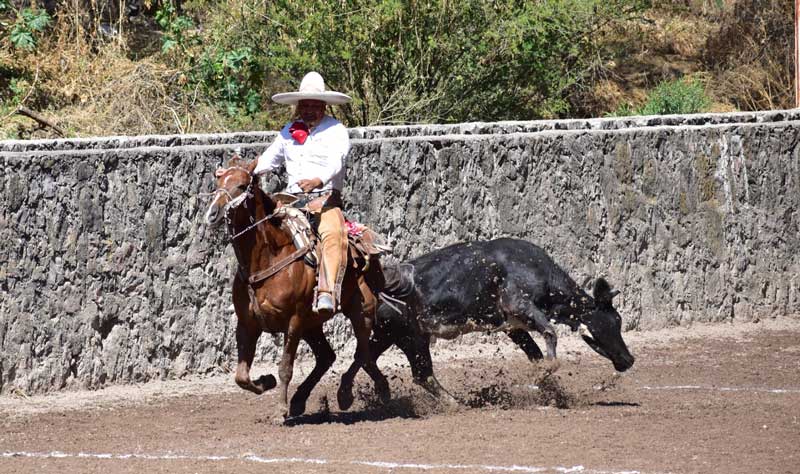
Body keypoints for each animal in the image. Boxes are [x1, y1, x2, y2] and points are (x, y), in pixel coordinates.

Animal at [205, 156, 390, 422]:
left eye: (241, 186)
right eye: (218, 182)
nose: (213, 214)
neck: (267, 258)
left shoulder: (293, 321)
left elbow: (285, 367)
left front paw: (279, 410)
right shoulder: (247, 324)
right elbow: (241, 376)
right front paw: (266, 381)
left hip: (361, 310)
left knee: (362, 353)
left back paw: (351, 393)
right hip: (312, 324)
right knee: (328, 356)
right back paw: (300, 400)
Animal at [350, 239, 632, 398]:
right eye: (615, 321)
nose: (629, 359)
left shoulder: (513, 327)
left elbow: (535, 355)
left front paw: (546, 386)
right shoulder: (520, 305)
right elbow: (550, 334)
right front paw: (542, 377)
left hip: (389, 334)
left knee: (364, 359)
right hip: (413, 337)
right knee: (421, 374)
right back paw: (455, 403)